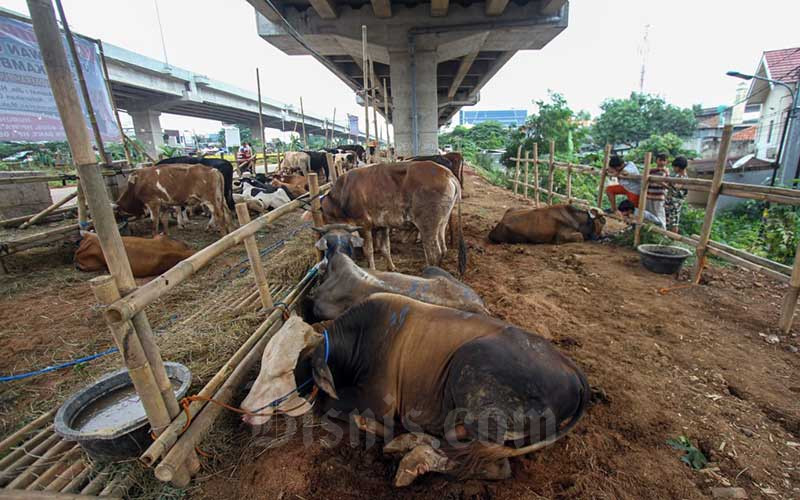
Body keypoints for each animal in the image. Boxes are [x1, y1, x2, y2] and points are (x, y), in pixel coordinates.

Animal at [241, 294, 592, 486]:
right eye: (263, 361)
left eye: (283, 372)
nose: (244, 411)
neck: (355, 346)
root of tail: (574, 372)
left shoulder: (379, 402)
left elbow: (342, 412)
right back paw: (408, 444)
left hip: (473, 376)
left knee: (490, 463)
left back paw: (412, 459)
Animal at [320, 161, 468, 274]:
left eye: (325, 216)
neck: (340, 196)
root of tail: (447, 173)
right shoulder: (382, 225)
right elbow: (386, 248)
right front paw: (391, 267)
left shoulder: (363, 224)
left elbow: (368, 250)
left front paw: (372, 269)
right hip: (441, 222)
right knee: (443, 250)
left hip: (427, 225)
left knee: (434, 253)